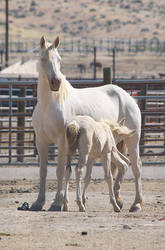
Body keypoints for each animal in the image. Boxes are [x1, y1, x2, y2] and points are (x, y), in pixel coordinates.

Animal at [30, 36, 143, 212]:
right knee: (123, 164)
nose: (56, 82)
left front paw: (57, 203)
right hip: (113, 145)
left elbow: (60, 171)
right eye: (43, 59)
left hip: (133, 140)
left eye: (59, 59)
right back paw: (118, 199)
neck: (48, 105)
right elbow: (43, 171)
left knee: (136, 167)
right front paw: (38, 202)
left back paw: (136, 203)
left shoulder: (62, 142)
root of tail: (127, 96)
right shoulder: (41, 142)